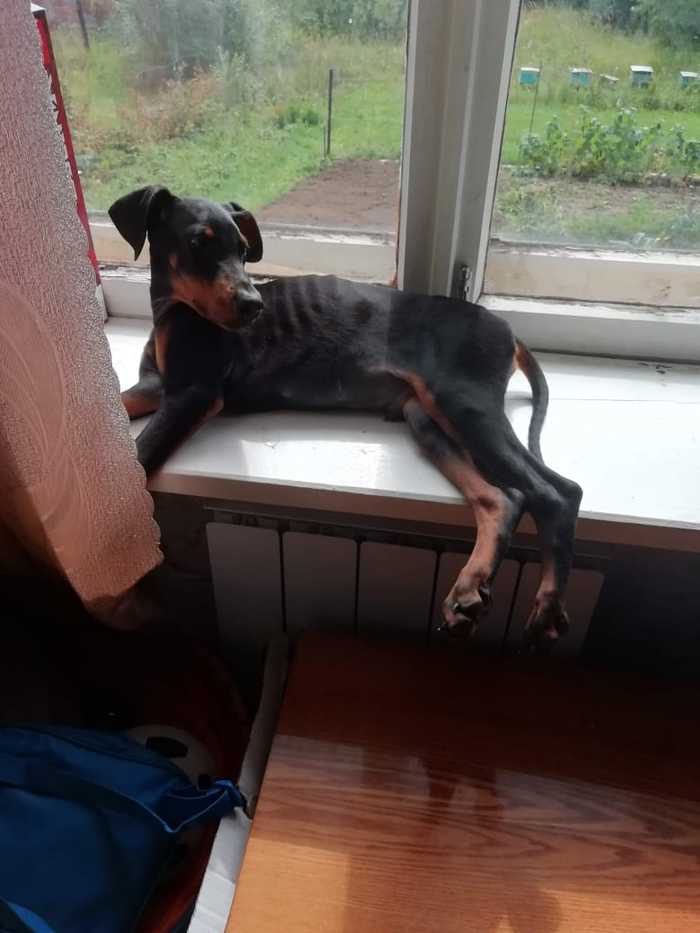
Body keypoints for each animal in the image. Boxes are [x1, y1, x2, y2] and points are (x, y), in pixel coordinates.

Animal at [109, 185, 582, 644]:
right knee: (504, 497)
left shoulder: (193, 395)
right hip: (425, 416)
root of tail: (508, 331)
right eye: (198, 243)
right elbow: (122, 407)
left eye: (244, 250)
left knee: (558, 491)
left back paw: (548, 602)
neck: (173, 311)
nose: (253, 305)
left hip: (462, 402)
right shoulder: (156, 387)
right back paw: (469, 588)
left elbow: (139, 458)